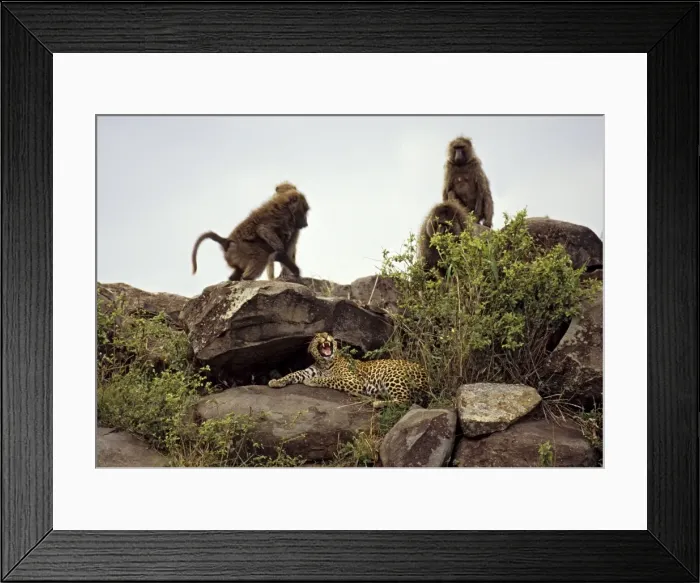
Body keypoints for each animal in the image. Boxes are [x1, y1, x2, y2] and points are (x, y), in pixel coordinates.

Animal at [268, 332, 430, 408]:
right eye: (317, 336)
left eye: (328, 334)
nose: (325, 335)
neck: (324, 363)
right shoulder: (308, 371)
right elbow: (293, 373)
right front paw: (276, 381)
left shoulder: (354, 380)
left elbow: (331, 379)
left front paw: (312, 381)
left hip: (393, 375)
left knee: (406, 401)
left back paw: (377, 403)